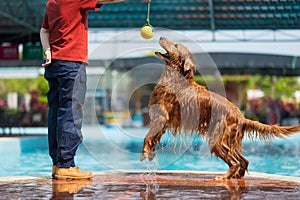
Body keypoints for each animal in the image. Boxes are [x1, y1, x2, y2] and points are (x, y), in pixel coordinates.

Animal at [141, 36, 300, 180]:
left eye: (175, 45)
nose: (161, 36)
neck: (175, 78)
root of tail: (242, 118)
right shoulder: (164, 121)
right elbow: (153, 138)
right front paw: (151, 154)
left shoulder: (162, 117)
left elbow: (147, 136)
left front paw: (144, 154)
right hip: (228, 140)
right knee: (244, 160)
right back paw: (237, 176)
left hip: (216, 139)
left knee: (235, 162)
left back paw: (224, 177)